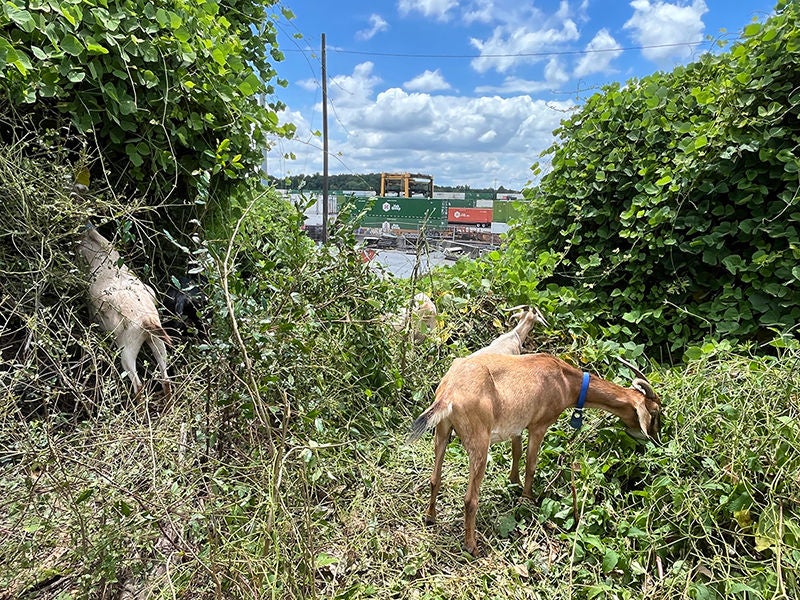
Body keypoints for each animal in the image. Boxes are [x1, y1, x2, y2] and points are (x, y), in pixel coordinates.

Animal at [407, 352, 661, 556]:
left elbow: (517, 453)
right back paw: (472, 546)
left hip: (442, 431)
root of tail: (448, 394)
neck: (566, 381)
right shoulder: (539, 425)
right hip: (479, 440)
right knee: (470, 498)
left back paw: (430, 517)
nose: (656, 440)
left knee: (434, 479)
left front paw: (514, 483)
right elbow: (531, 464)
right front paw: (528, 498)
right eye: (655, 412)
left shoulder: (517, 425)